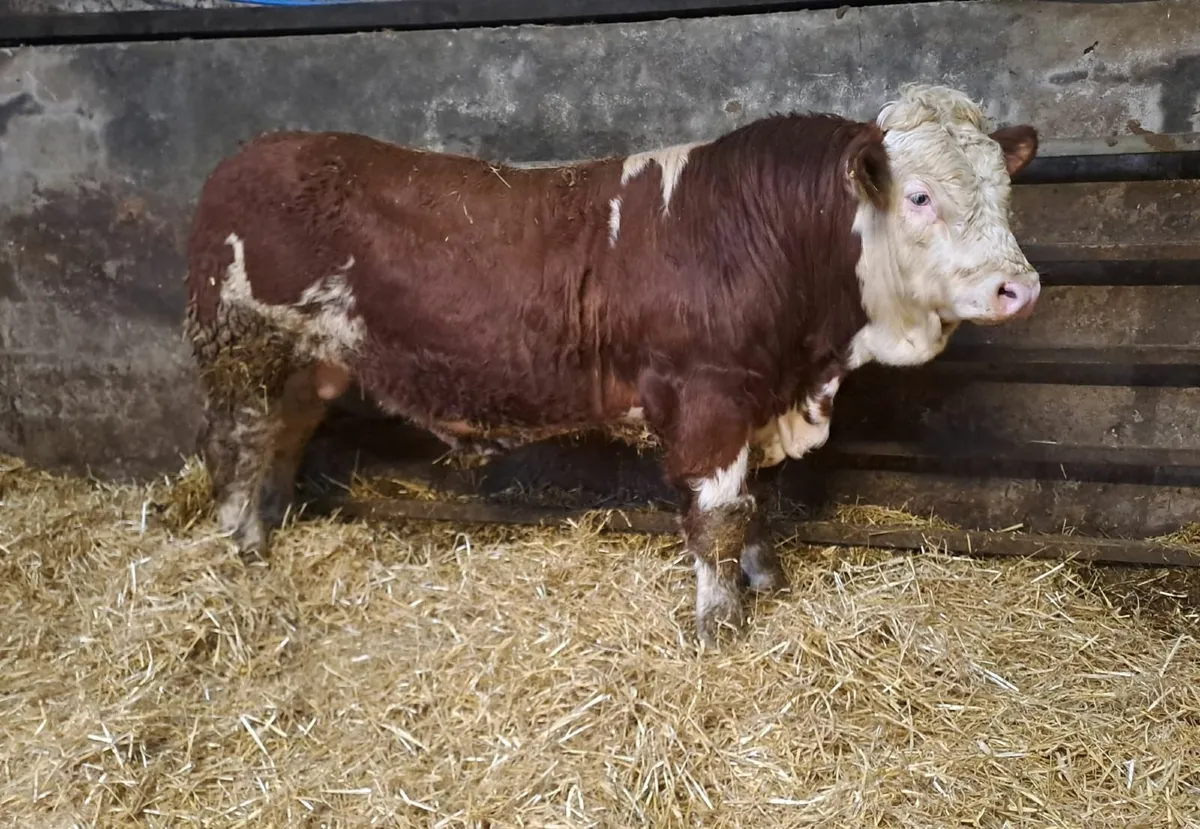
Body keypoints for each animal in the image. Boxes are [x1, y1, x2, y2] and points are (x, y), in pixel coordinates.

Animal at [184, 83, 1040, 646]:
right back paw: (244, 548)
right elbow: (718, 517)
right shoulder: (708, 398)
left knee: (282, 441)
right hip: (244, 351)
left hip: (310, 366)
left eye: (1005, 190)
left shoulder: (755, 398)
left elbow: (752, 506)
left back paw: (270, 530)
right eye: (920, 196)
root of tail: (254, 154)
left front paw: (766, 578)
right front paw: (720, 620)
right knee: (235, 449)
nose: (1020, 286)